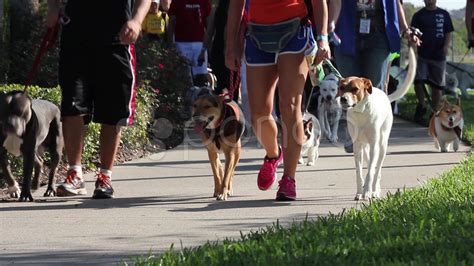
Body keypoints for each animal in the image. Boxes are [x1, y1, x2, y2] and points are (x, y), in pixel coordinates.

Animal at [338, 46, 416, 201]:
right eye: (341, 88)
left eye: (355, 89)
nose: (343, 99)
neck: (360, 113)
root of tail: (385, 95)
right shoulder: (357, 146)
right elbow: (359, 173)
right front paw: (359, 192)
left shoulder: (374, 146)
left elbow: (370, 173)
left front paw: (368, 192)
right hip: (367, 148)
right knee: (372, 167)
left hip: (382, 145)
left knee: (377, 167)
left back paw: (374, 190)